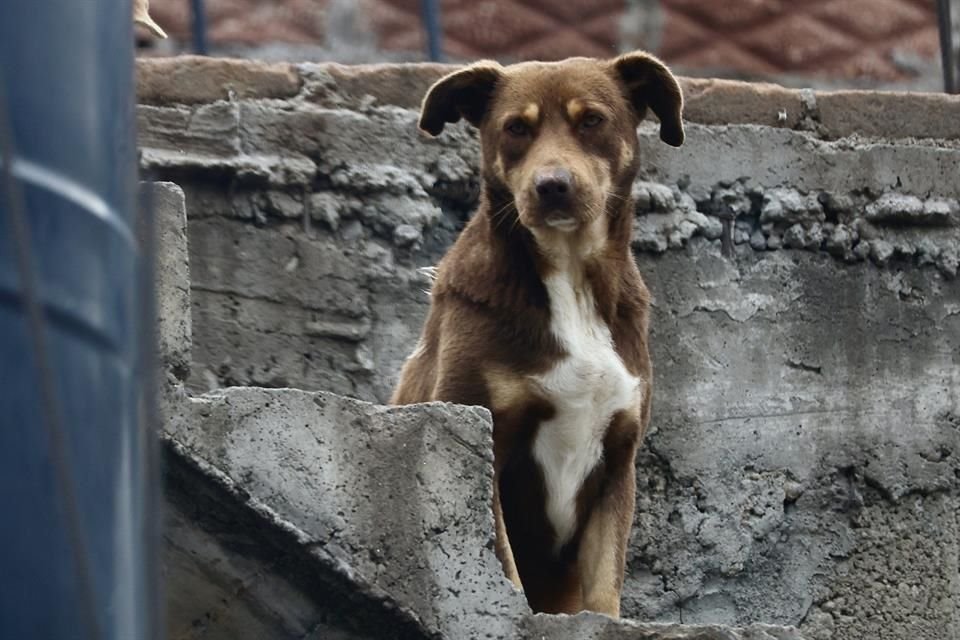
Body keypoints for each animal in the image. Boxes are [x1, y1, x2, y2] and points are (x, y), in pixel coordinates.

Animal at [394, 51, 688, 616]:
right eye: (516, 128)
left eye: (591, 120)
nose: (552, 185)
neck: (569, 277)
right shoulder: (483, 438)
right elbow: (505, 566)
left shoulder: (617, 462)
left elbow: (603, 589)